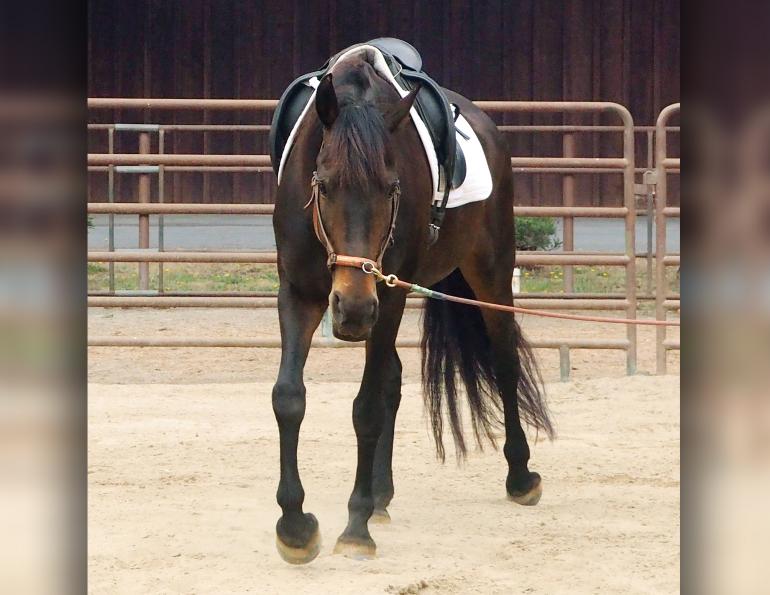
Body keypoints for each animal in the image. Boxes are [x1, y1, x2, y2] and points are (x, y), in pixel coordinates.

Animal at [271, 52, 554, 564]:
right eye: (324, 185)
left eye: (391, 188)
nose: (353, 309)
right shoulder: (298, 293)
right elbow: (289, 398)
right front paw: (295, 526)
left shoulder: (388, 295)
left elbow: (365, 408)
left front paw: (355, 526)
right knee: (393, 379)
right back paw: (382, 494)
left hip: (490, 271)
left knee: (503, 362)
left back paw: (520, 476)